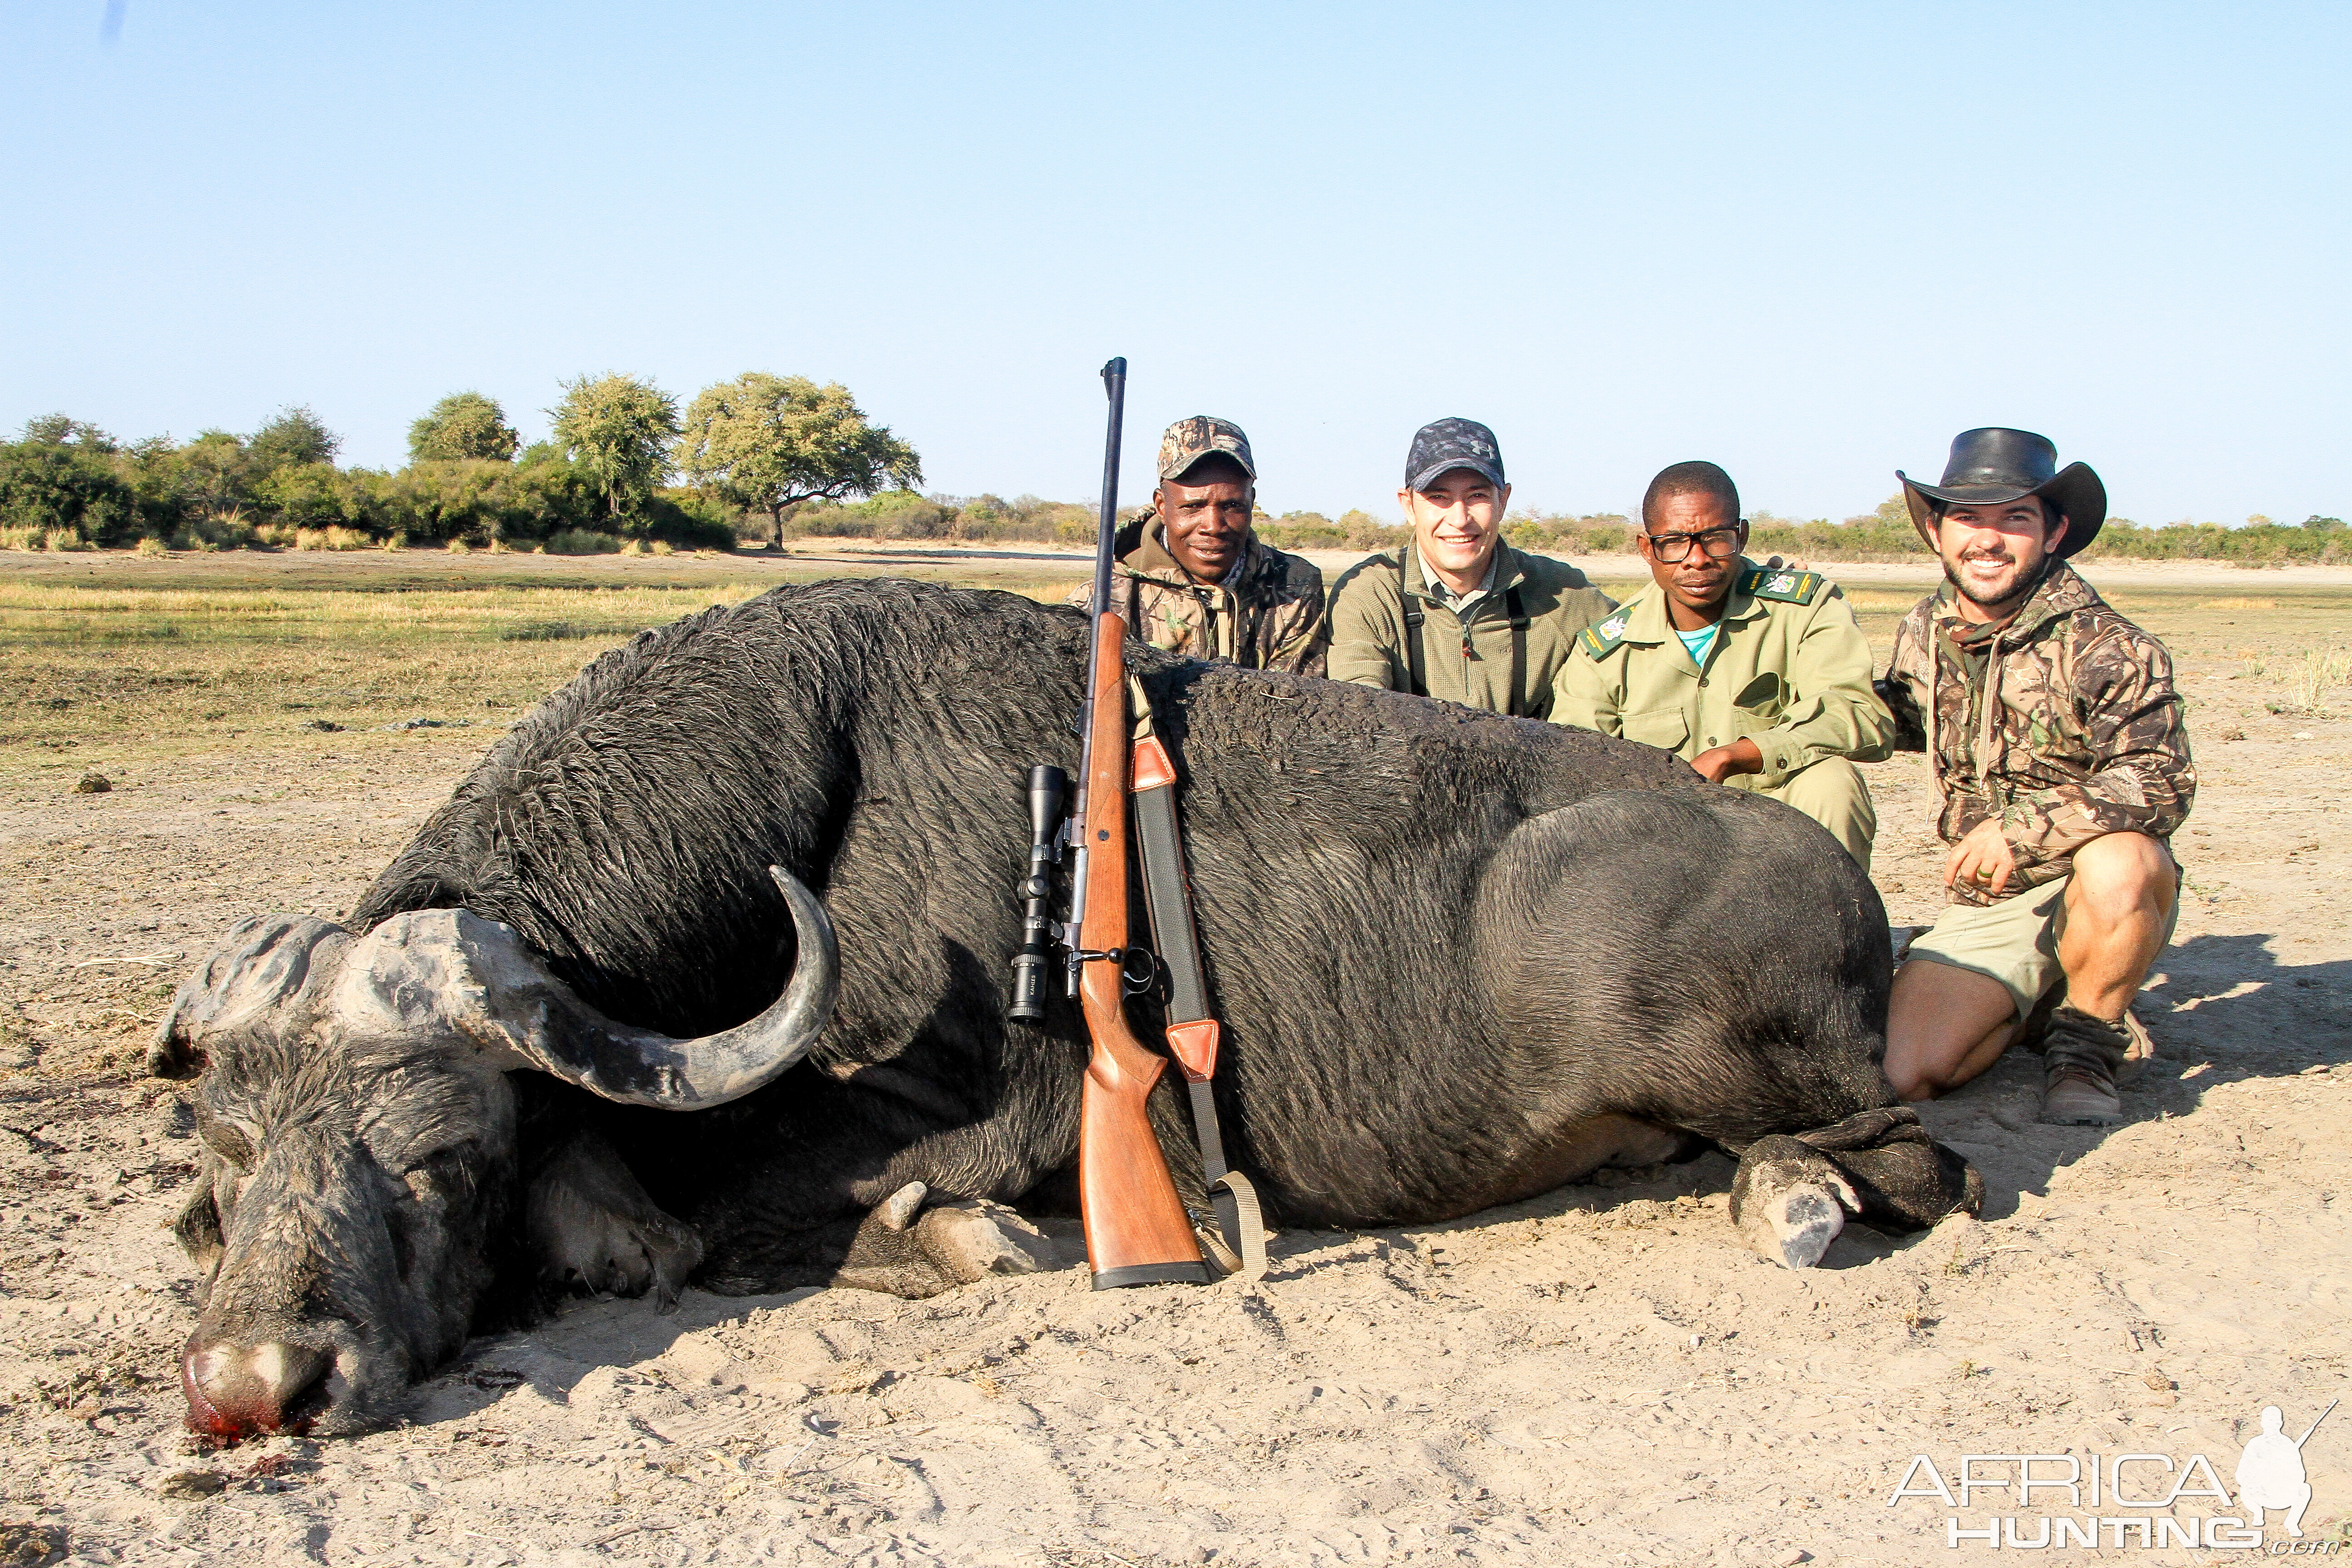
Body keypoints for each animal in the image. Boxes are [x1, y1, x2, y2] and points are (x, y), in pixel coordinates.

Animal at [152, 576, 1985, 1439]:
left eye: (442, 1154)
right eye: (233, 1157)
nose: (257, 1386)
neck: (809, 796)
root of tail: (1839, 874)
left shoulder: (946, 1114)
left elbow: (744, 1202)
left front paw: (959, 1239)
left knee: (1914, 1163)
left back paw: (1792, 1198)